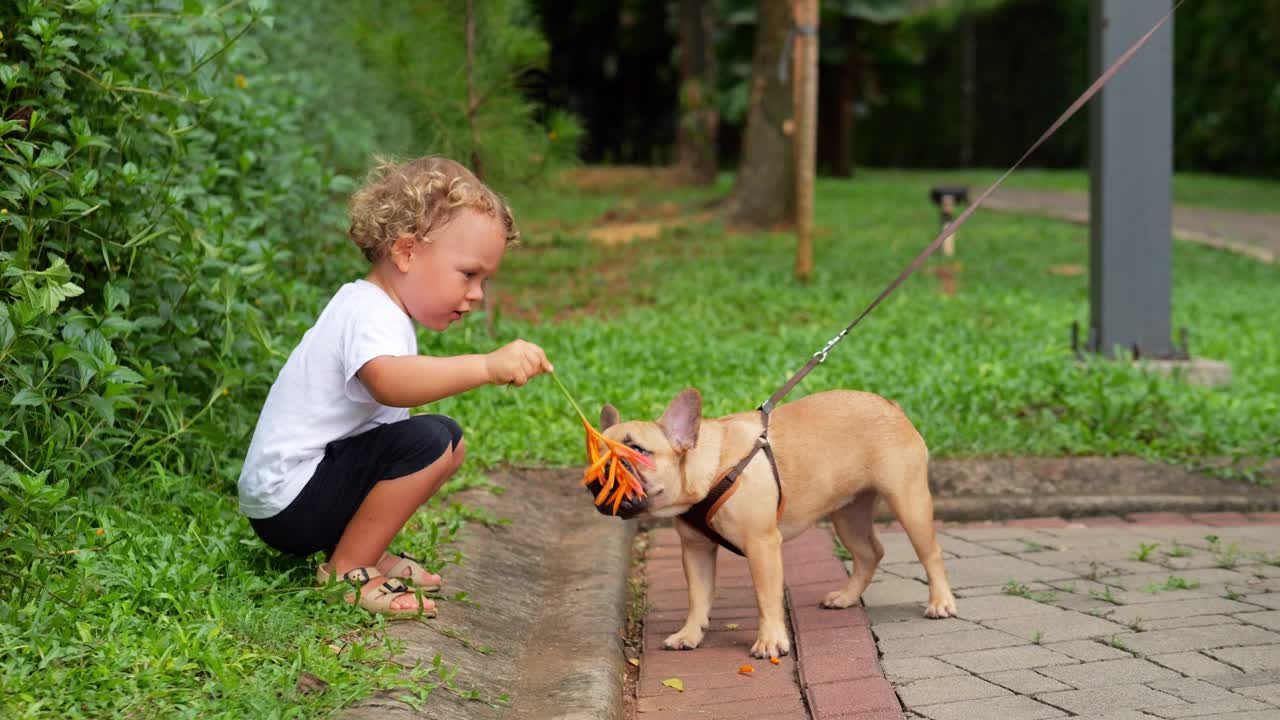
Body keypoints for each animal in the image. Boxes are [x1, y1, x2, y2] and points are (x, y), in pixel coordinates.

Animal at [593, 386, 957, 655]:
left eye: (637, 451)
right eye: (595, 453)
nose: (603, 469)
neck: (711, 467)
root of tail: (892, 406)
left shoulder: (762, 544)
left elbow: (766, 597)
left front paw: (770, 641)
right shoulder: (696, 549)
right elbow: (698, 595)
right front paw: (689, 634)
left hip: (909, 502)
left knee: (931, 553)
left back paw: (941, 602)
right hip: (848, 514)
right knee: (869, 552)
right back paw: (846, 597)